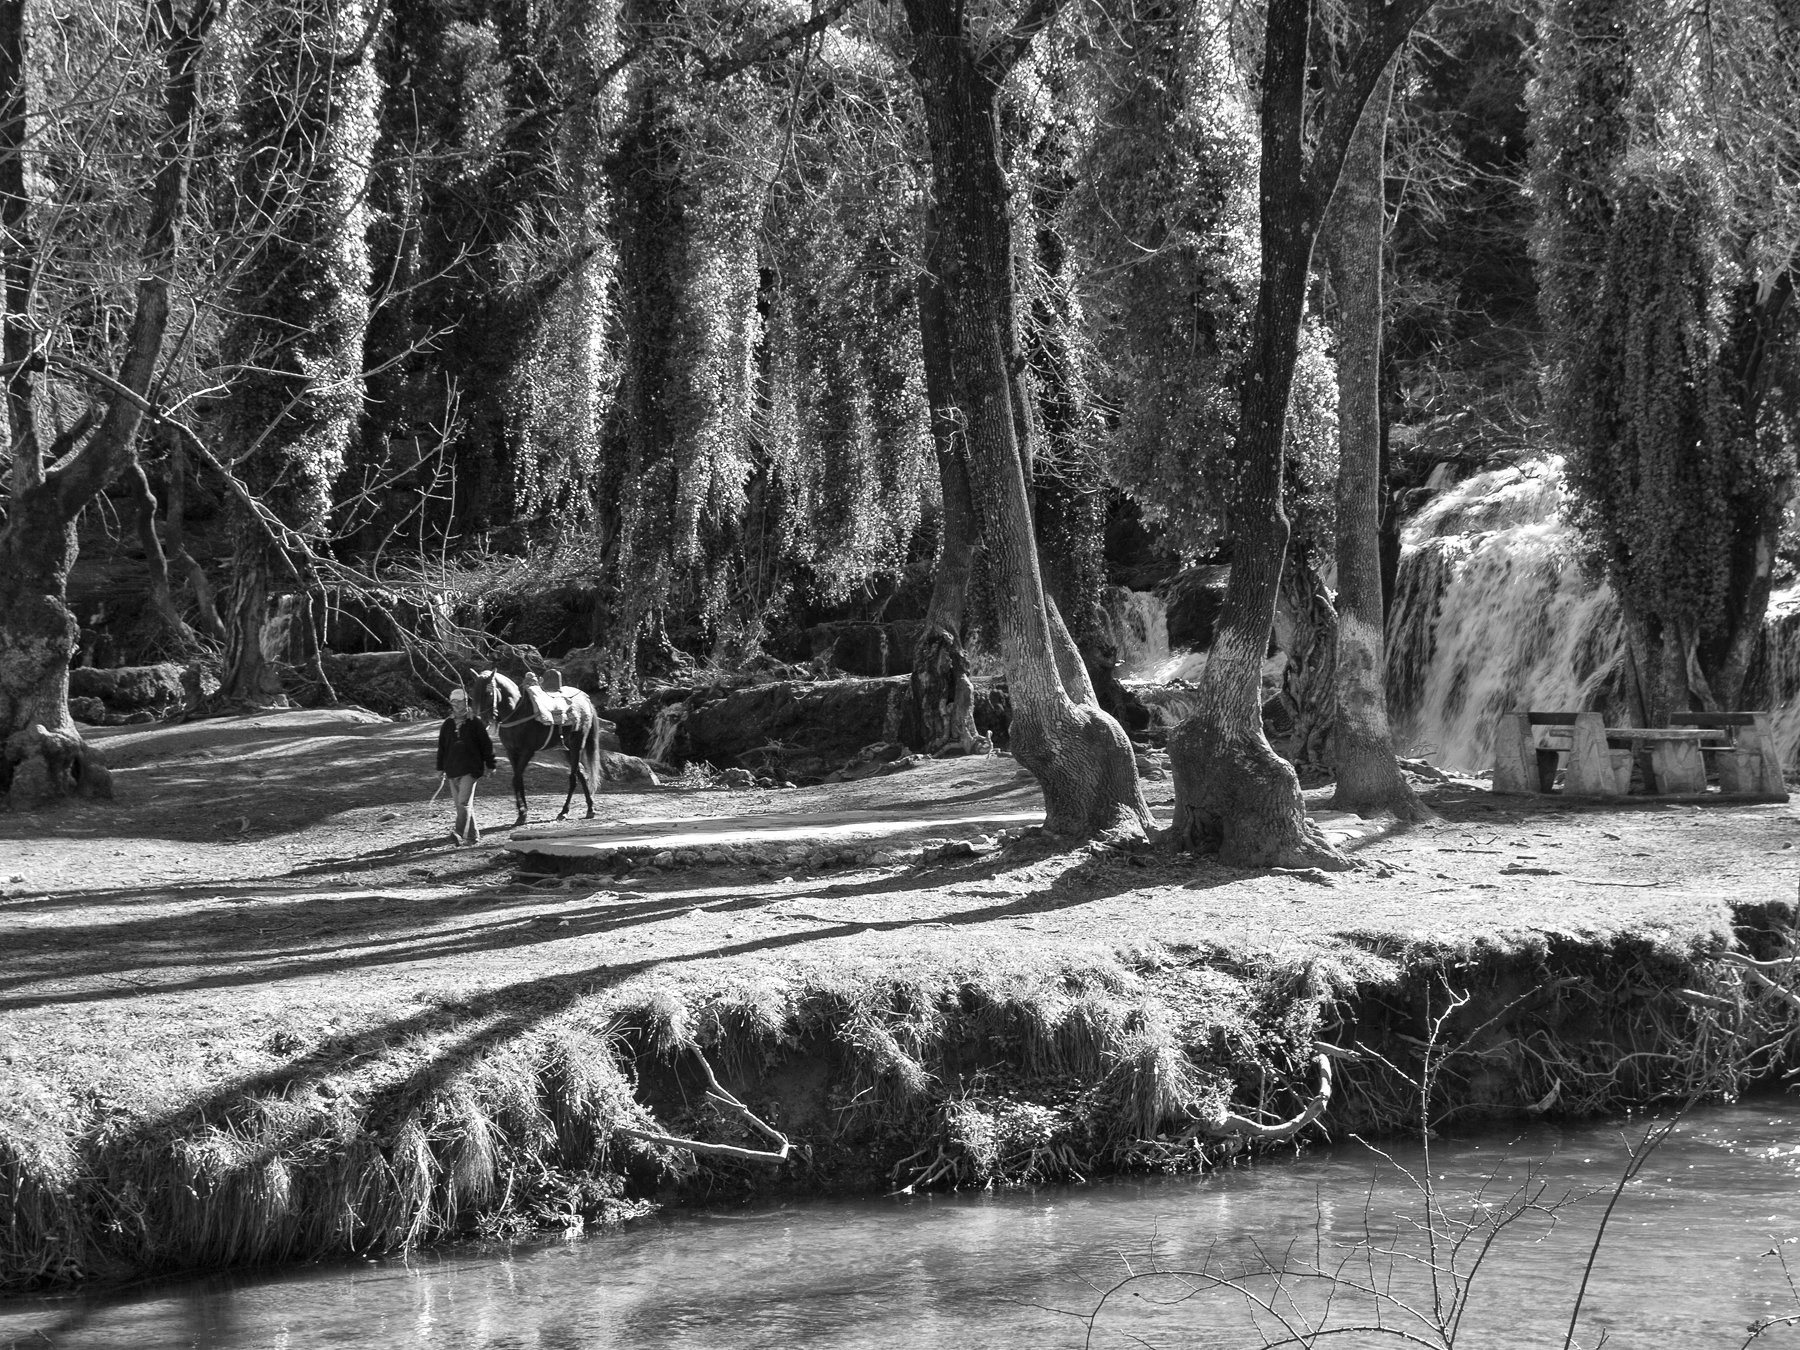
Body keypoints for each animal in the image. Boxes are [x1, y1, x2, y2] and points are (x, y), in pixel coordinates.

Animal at [468, 673, 601, 831]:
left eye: (488, 693)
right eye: (473, 693)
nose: (481, 720)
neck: (516, 713)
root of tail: (586, 700)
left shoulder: (527, 751)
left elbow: (515, 779)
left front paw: (522, 813)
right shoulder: (511, 752)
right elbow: (518, 779)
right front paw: (521, 813)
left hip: (577, 745)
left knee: (573, 778)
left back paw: (564, 812)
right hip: (567, 750)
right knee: (582, 774)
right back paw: (590, 808)